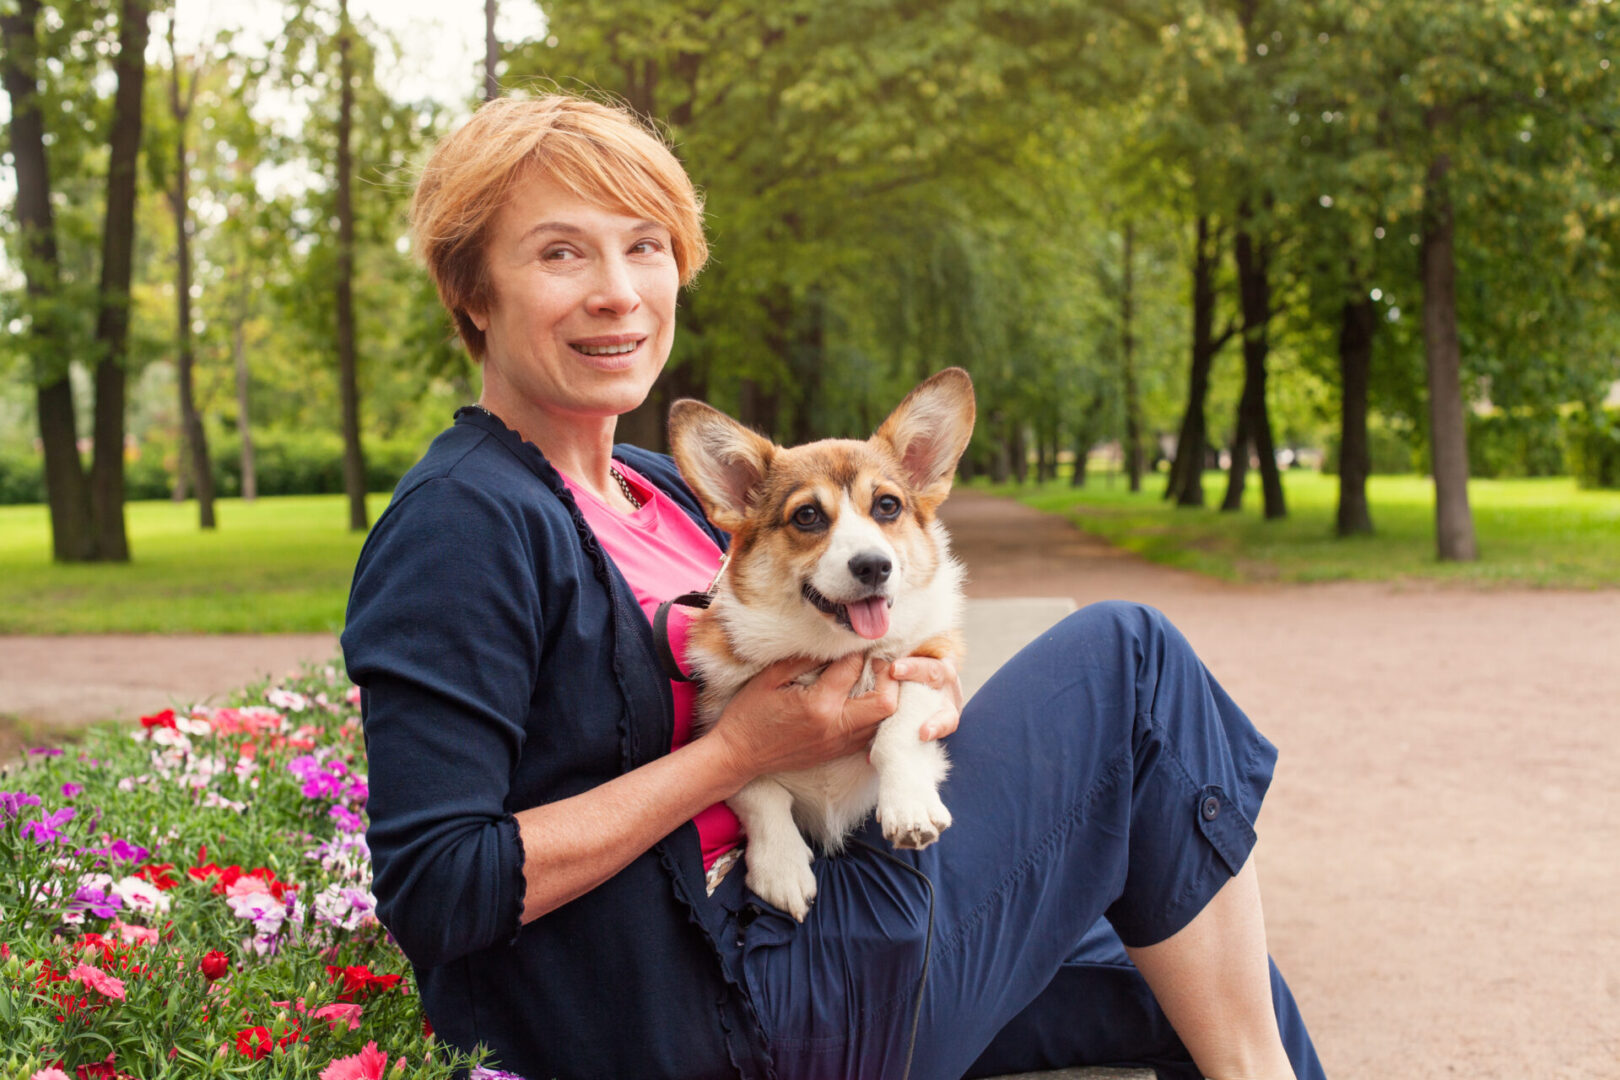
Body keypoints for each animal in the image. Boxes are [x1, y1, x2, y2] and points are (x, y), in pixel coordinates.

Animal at [667, 367, 972, 919]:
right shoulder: (720, 723)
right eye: (807, 515)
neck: (829, 652)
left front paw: (910, 807)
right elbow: (758, 790)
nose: (874, 566)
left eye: (888, 506)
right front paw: (781, 867)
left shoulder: (928, 664)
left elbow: (897, 732)